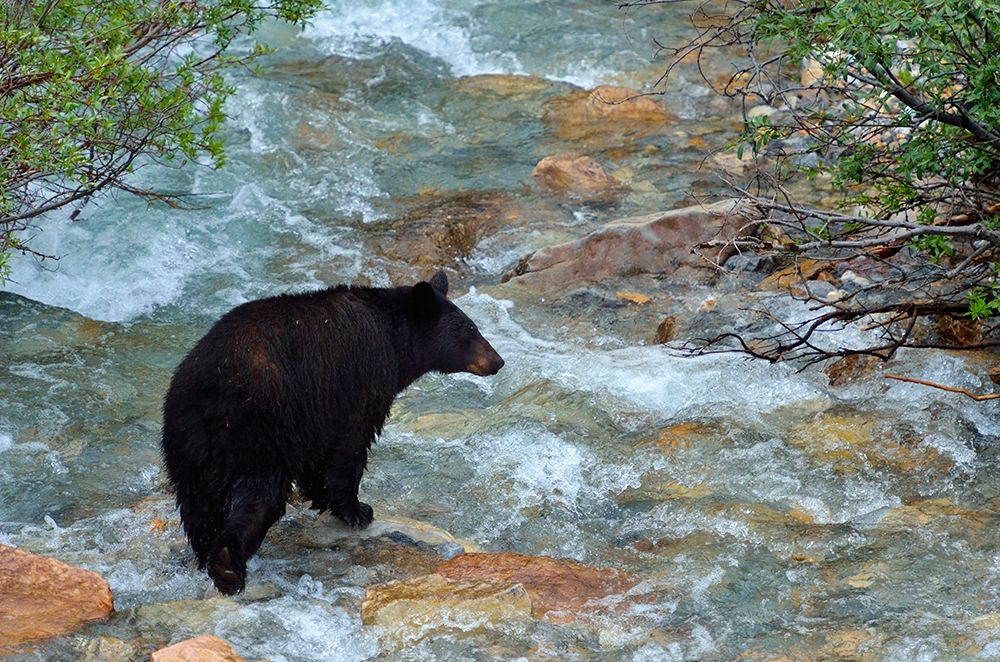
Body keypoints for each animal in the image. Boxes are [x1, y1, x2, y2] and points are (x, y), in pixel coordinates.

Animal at [161, 271, 504, 594]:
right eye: (469, 331)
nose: (498, 361)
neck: (393, 339)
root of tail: (209, 392)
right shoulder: (357, 382)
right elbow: (350, 447)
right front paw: (358, 510)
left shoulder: (316, 413)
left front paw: (325, 498)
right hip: (259, 429)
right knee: (260, 496)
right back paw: (228, 566)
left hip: (188, 443)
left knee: (198, 506)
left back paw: (207, 554)